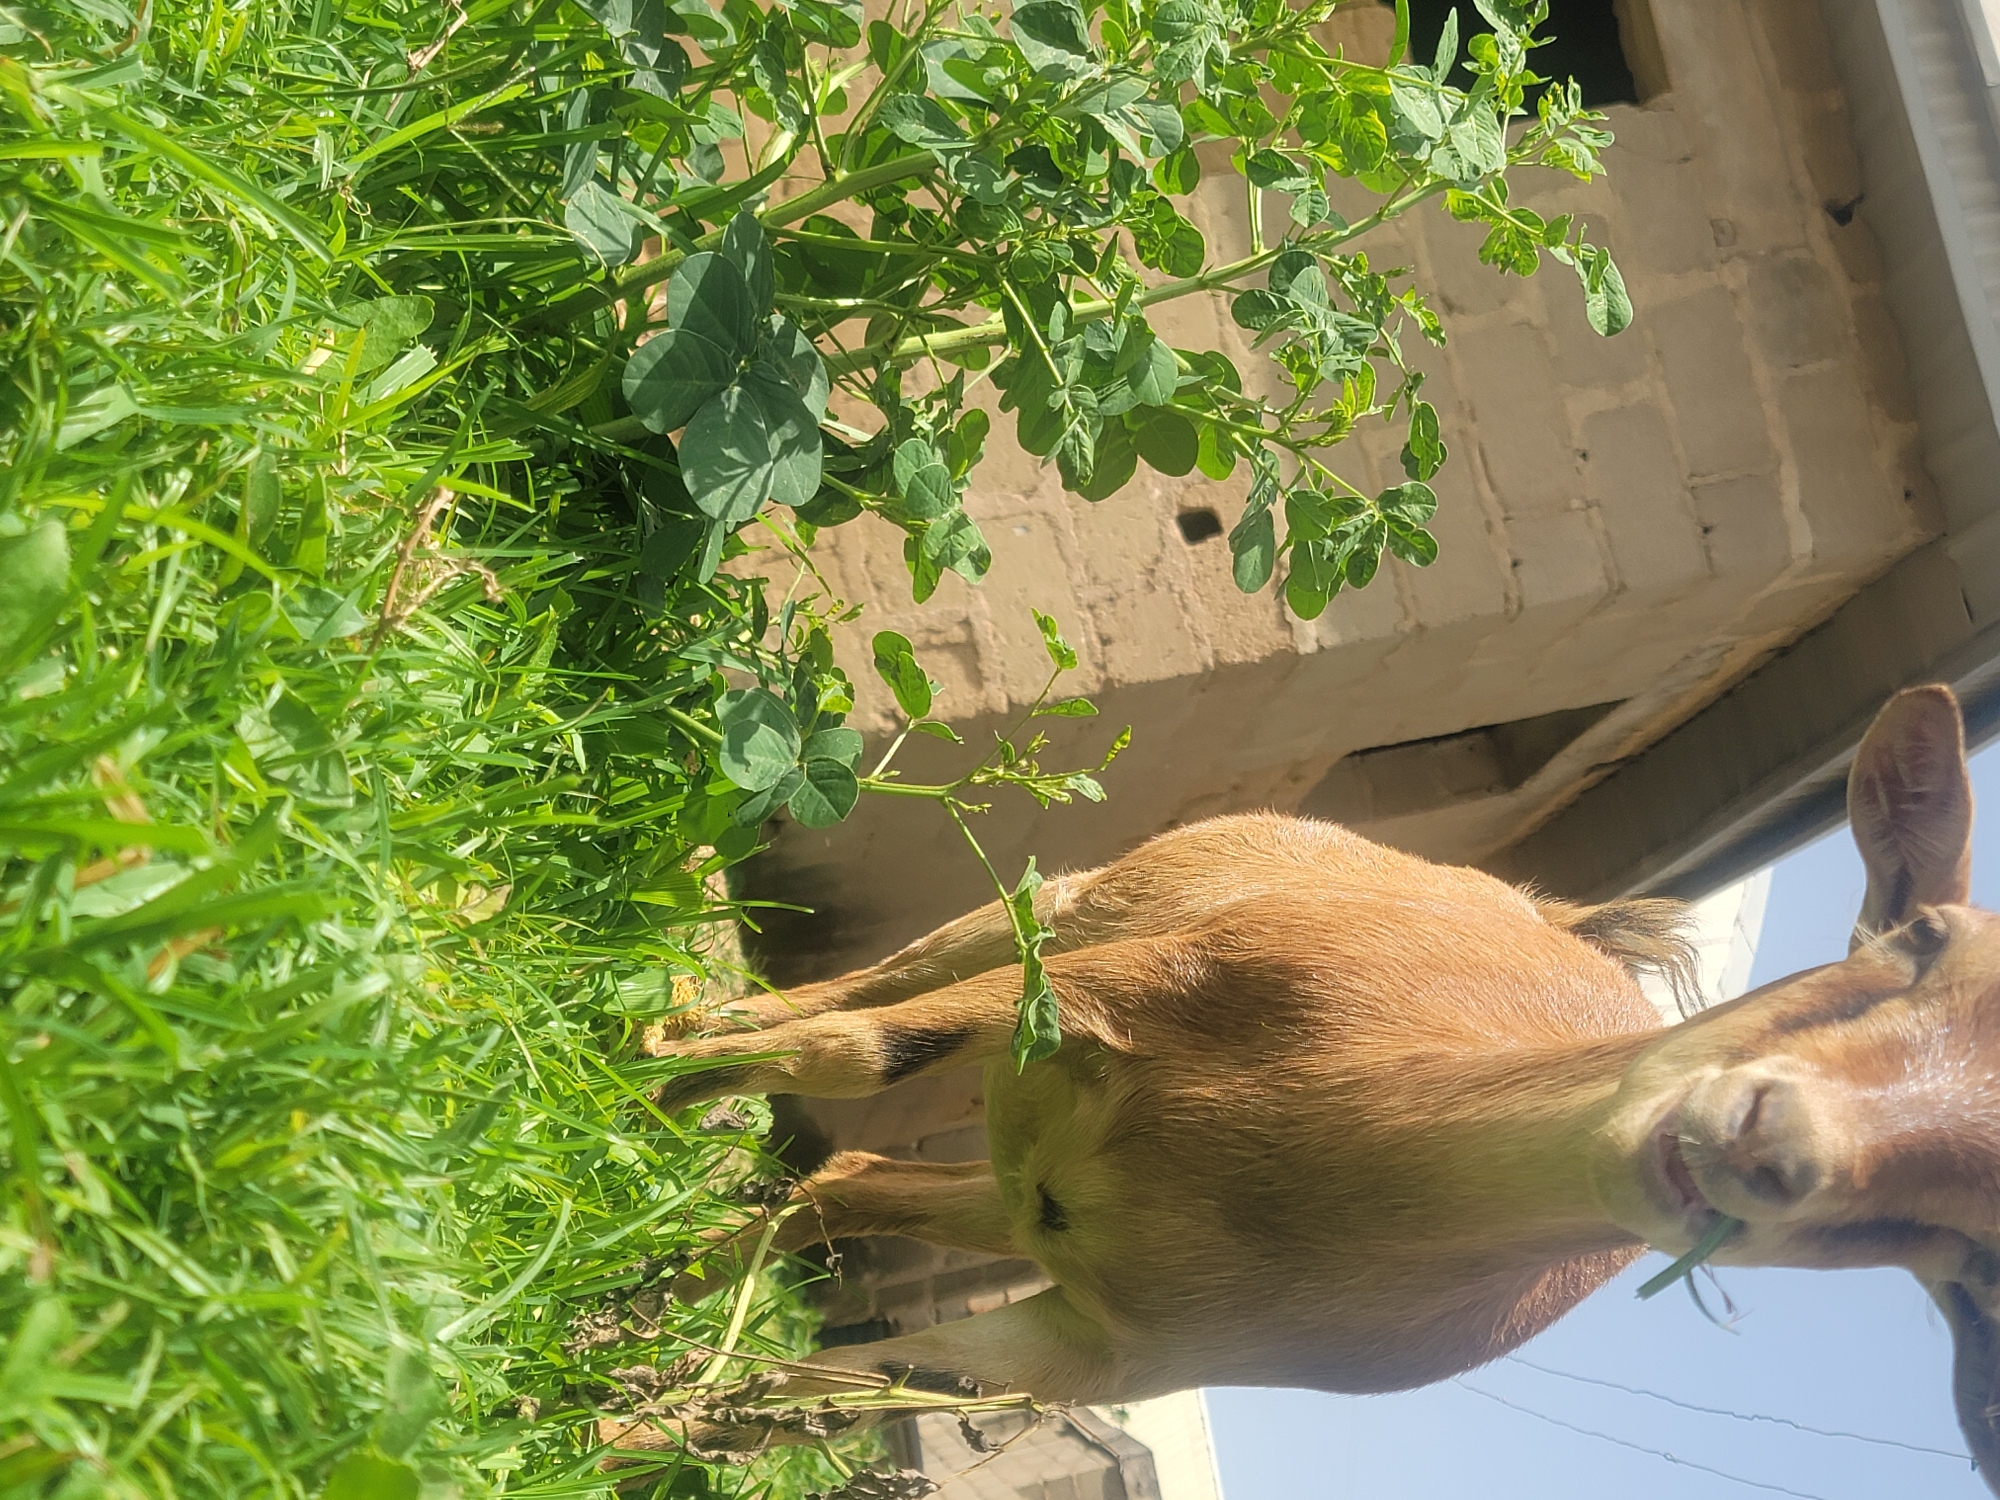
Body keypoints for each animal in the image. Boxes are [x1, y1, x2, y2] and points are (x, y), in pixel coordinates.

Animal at [614, 684, 2000, 1490]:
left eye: (1975, 1262)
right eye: (1913, 941)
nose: (1763, 1143)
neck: (1310, 1156)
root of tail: (1547, 911)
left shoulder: (1082, 1348)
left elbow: (797, 1400)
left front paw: (605, 1425)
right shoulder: (1109, 985)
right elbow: (852, 1056)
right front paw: (625, 1079)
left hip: (1018, 1201)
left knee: (849, 1181)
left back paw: (650, 1283)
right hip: (1060, 916)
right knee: (856, 1010)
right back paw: (668, 1057)